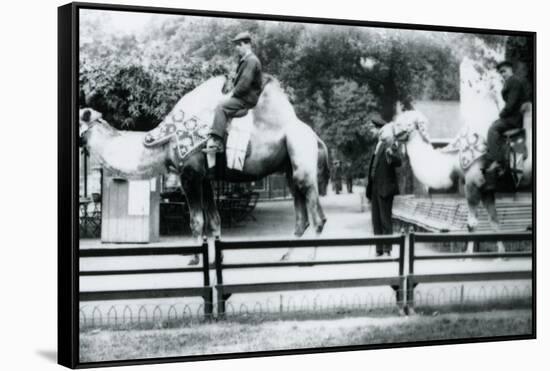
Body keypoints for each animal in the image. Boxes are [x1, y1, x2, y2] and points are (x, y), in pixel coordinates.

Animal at [80, 75, 330, 262]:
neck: (163, 143)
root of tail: (316, 137)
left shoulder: (189, 175)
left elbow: (197, 220)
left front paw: (194, 258)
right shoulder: (205, 178)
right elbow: (214, 219)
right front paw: (217, 258)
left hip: (303, 162)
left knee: (317, 217)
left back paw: (310, 259)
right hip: (290, 170)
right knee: (301, 218)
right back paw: (287, 256)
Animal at [382, 106, 532, 254]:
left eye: (401, 123)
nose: (382, 133)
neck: (453, 159)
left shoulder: (472, 183)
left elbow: (472, 225)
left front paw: (466, 257)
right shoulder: (486, 188)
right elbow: (494, 221)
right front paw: (501, 256)